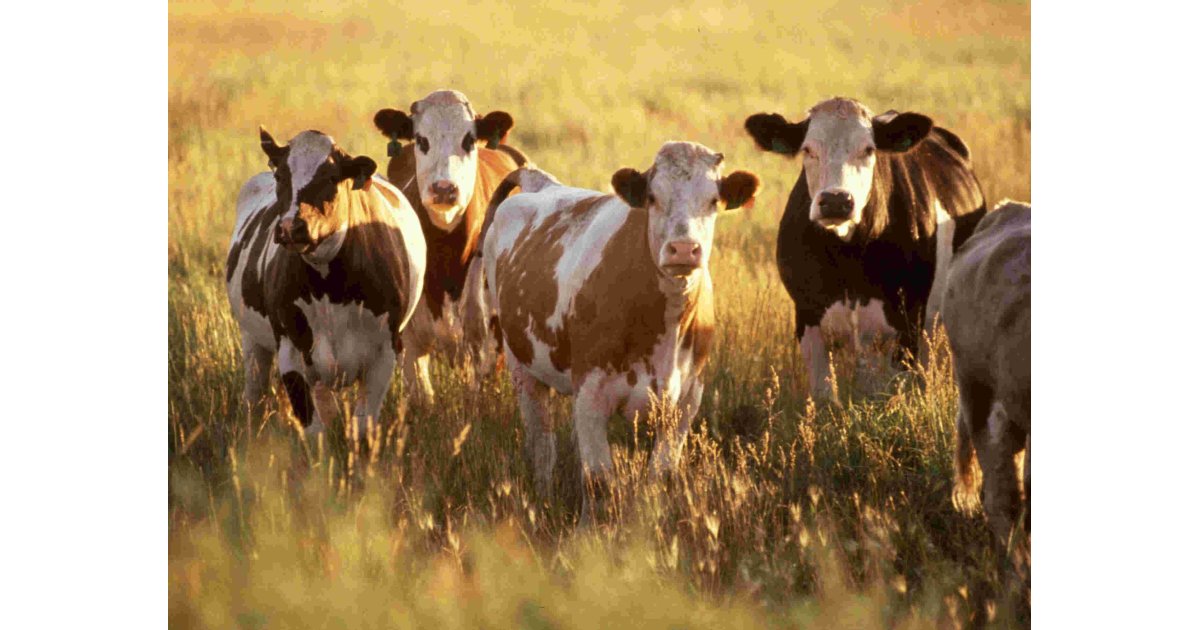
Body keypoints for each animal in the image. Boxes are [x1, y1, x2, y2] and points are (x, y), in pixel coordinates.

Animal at [226, 127, 426, 435]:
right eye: (280, 175)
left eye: (332, 177)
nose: (291, 227)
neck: (329, 288)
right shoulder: (291, 352)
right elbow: (314, 430)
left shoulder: (385, 353)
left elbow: (363, 427)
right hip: (253, 340)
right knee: (254, 395)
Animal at [482, 143, 760, 523]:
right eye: (653, 198)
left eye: (713, 200)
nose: (683, 249)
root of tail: (542, 183)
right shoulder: (590, 393)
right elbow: (598, 480)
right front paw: (589, 533)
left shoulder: (687, 400)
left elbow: (661, 477)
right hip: (521, 367)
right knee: (542, 443)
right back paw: (543, 498)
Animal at [744, 97, 988, 398]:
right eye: (808, 149)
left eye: (869, 149)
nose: (836, 200)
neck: (847, 258)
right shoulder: (806, 316)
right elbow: (824, 396)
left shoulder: (908, 322)